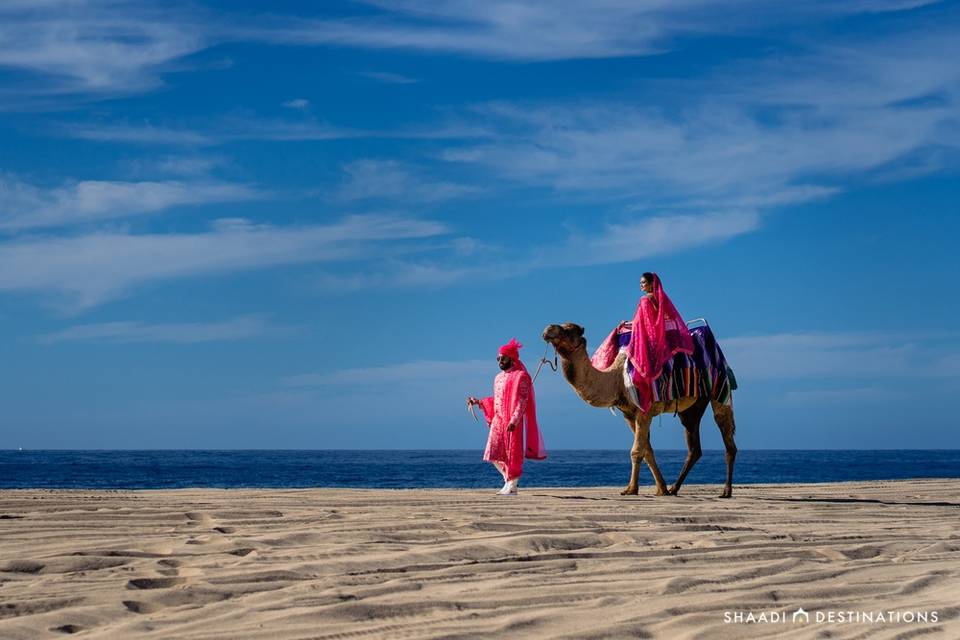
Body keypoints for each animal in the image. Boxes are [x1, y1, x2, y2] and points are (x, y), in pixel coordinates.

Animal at [544, 322, 740, 498]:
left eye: (569, 330)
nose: (548, 329)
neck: (617, 379)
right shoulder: (628, 414)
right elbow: (647, 451)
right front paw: (661, 489)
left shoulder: (644, 411)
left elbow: (636, 451)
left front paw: (631, 489)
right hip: (692, 407)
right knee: (694, 446)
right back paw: (674, 488)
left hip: (720, 389)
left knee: (726, 434)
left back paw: (726, 491)